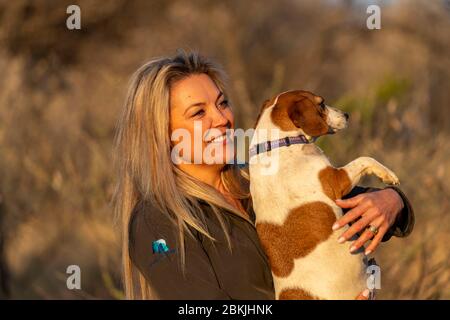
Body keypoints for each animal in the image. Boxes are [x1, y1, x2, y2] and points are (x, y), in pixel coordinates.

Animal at [250, 90, 400, 300]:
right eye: (321, 103)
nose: (347, 115)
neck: (281, 144)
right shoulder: (337, 181)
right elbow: (364, 159)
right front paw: (388, 175)